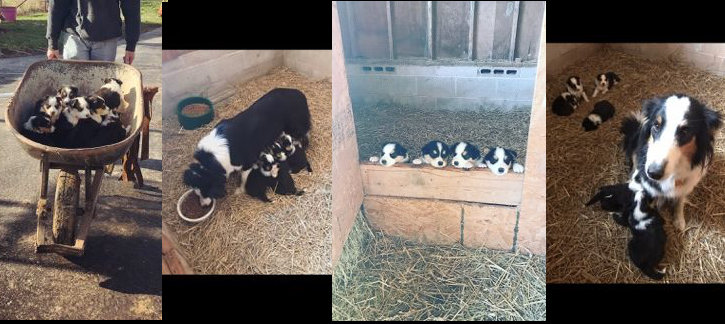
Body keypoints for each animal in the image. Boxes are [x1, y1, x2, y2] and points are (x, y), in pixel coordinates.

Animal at [620, 93, 720, 230]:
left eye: (685, 131)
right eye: (656, 125)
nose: (653, 173)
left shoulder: (686, 185)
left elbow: (680, 201)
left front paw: (679, 220)